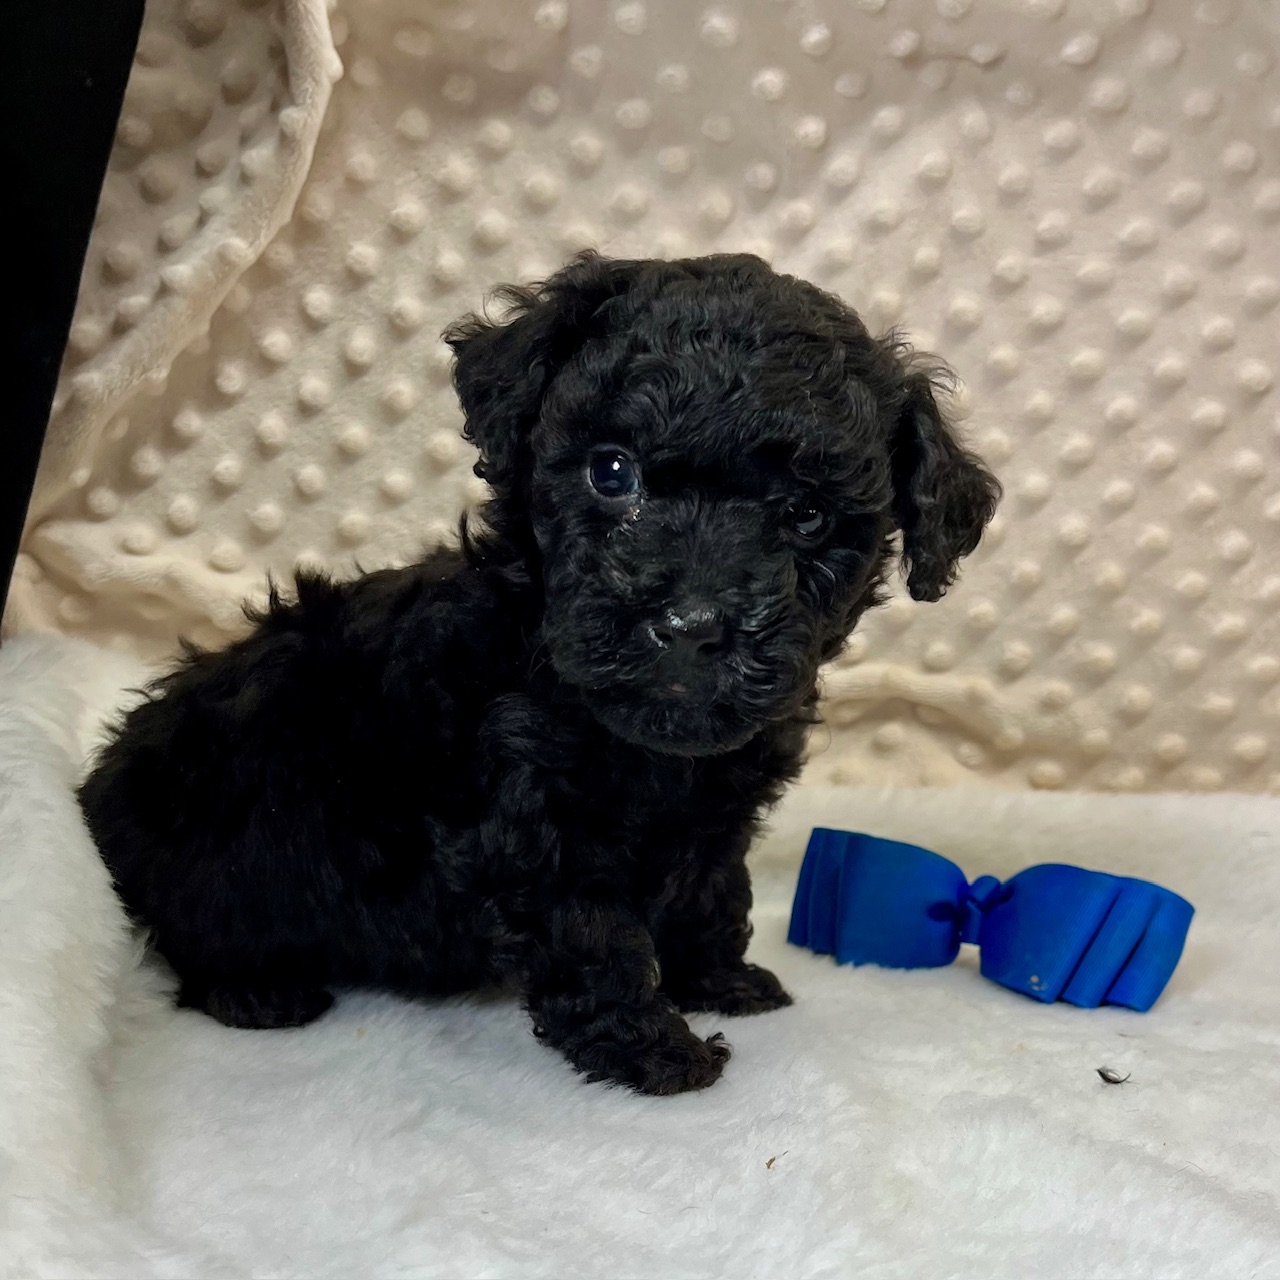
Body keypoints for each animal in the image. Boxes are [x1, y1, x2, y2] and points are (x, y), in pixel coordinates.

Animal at [80, 254, 998, 1095]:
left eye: (805, 517)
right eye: (613, 471)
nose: (691, 626)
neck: (649, 752)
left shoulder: (715, 810)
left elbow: (712, 889)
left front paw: (720, 981)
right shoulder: (530, 825)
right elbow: (596, 937)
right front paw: (654, 1050)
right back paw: (256, 991)